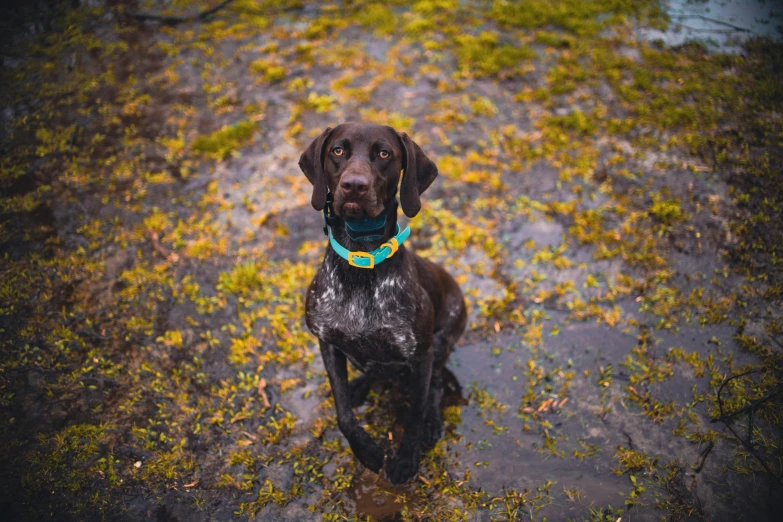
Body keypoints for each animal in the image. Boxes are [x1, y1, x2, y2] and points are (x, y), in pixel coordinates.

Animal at [300, 123, 466, 484]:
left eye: (384, 153)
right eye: (337, 150)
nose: (354, 185)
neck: (361, 260)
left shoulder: (421, 355)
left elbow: (416, 413)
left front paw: (405, 459)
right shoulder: (327, 342)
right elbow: (342, 412)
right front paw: (367, 452)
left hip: (443, 340)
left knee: (435, 386)